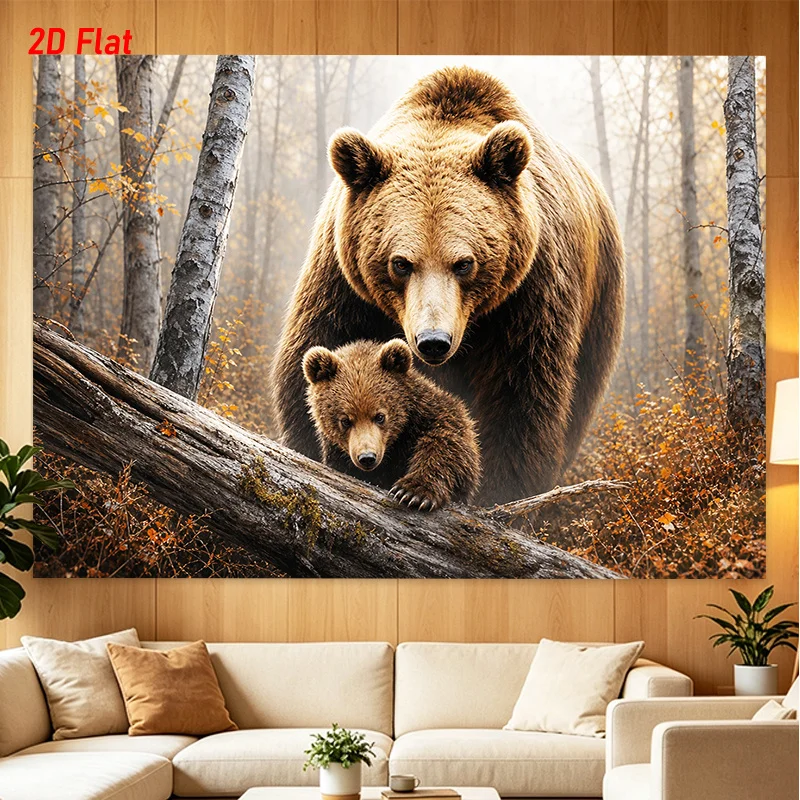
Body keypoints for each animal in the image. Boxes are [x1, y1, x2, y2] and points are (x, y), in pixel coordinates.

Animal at [302, 338, 481, 511]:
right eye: (345, 420)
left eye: (380, 416)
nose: (367, 458)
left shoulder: (431, 414)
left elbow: (449, 444)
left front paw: (412, 492)